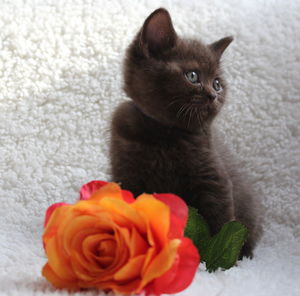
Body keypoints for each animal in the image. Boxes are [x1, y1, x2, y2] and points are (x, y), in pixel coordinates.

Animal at [109, 6, 258, 256]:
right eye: (193, 76)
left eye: (217, 84)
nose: (213, 95)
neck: (165, 133)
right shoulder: (127, 174)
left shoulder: (212, 177)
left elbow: (220, 222)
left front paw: (216, 258)